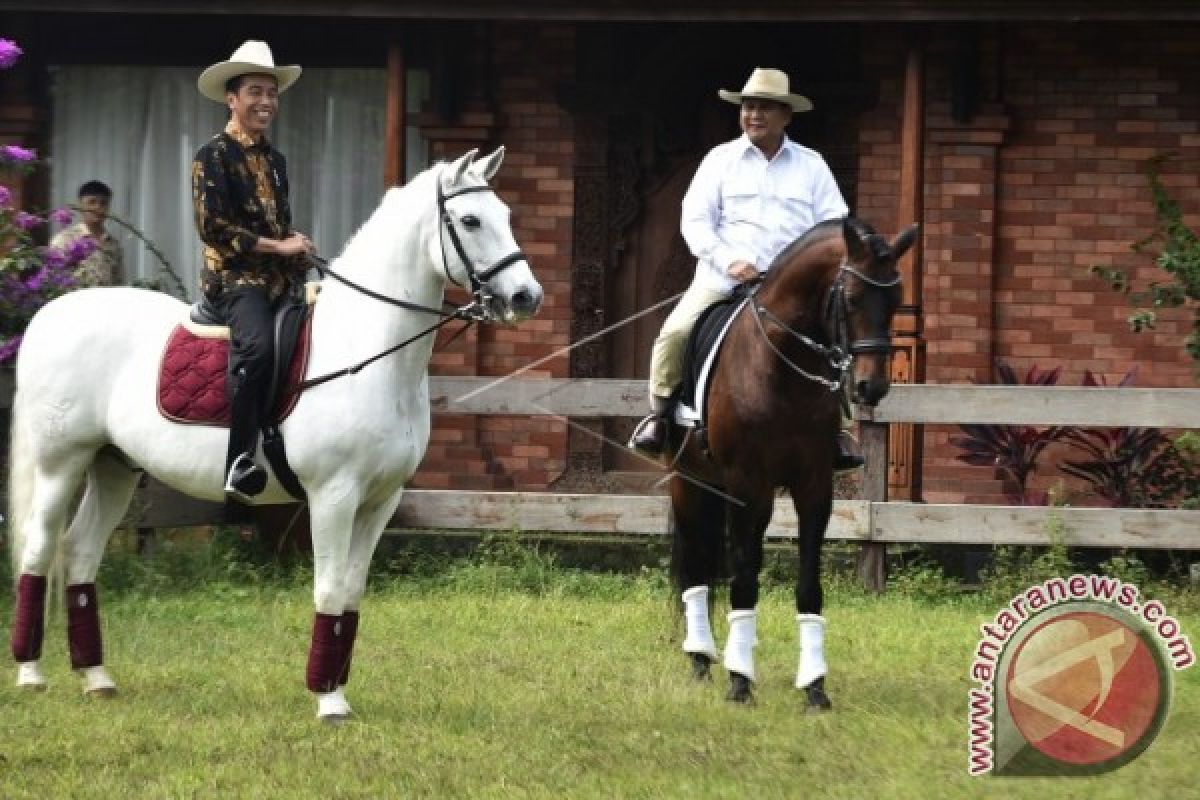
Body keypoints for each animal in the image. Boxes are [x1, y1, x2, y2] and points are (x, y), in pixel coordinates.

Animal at [7, 146, 542, 724]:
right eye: (469, 221)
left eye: (506, 214)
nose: (526, 297)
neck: (365, 347)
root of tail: (51, 313)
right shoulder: (334, 496)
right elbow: (329, 590)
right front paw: (328, 701)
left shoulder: (381, 501)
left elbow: (351, 594)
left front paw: (336, 688)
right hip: (61, 462)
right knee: (39, 549)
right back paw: (31, 673)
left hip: (114, 467)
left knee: (81, 553)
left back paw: (97, 678)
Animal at [672, 215, 912, 710]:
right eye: (852, 298)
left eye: (896, 300)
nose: (872, 388)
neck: (781, 367)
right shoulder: (748, 485)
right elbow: (744, 579)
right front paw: (739, 681)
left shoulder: (813, 486)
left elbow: (808, 587)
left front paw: (815, 687)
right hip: (688, 482)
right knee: (694, 568)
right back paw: (702, 659)